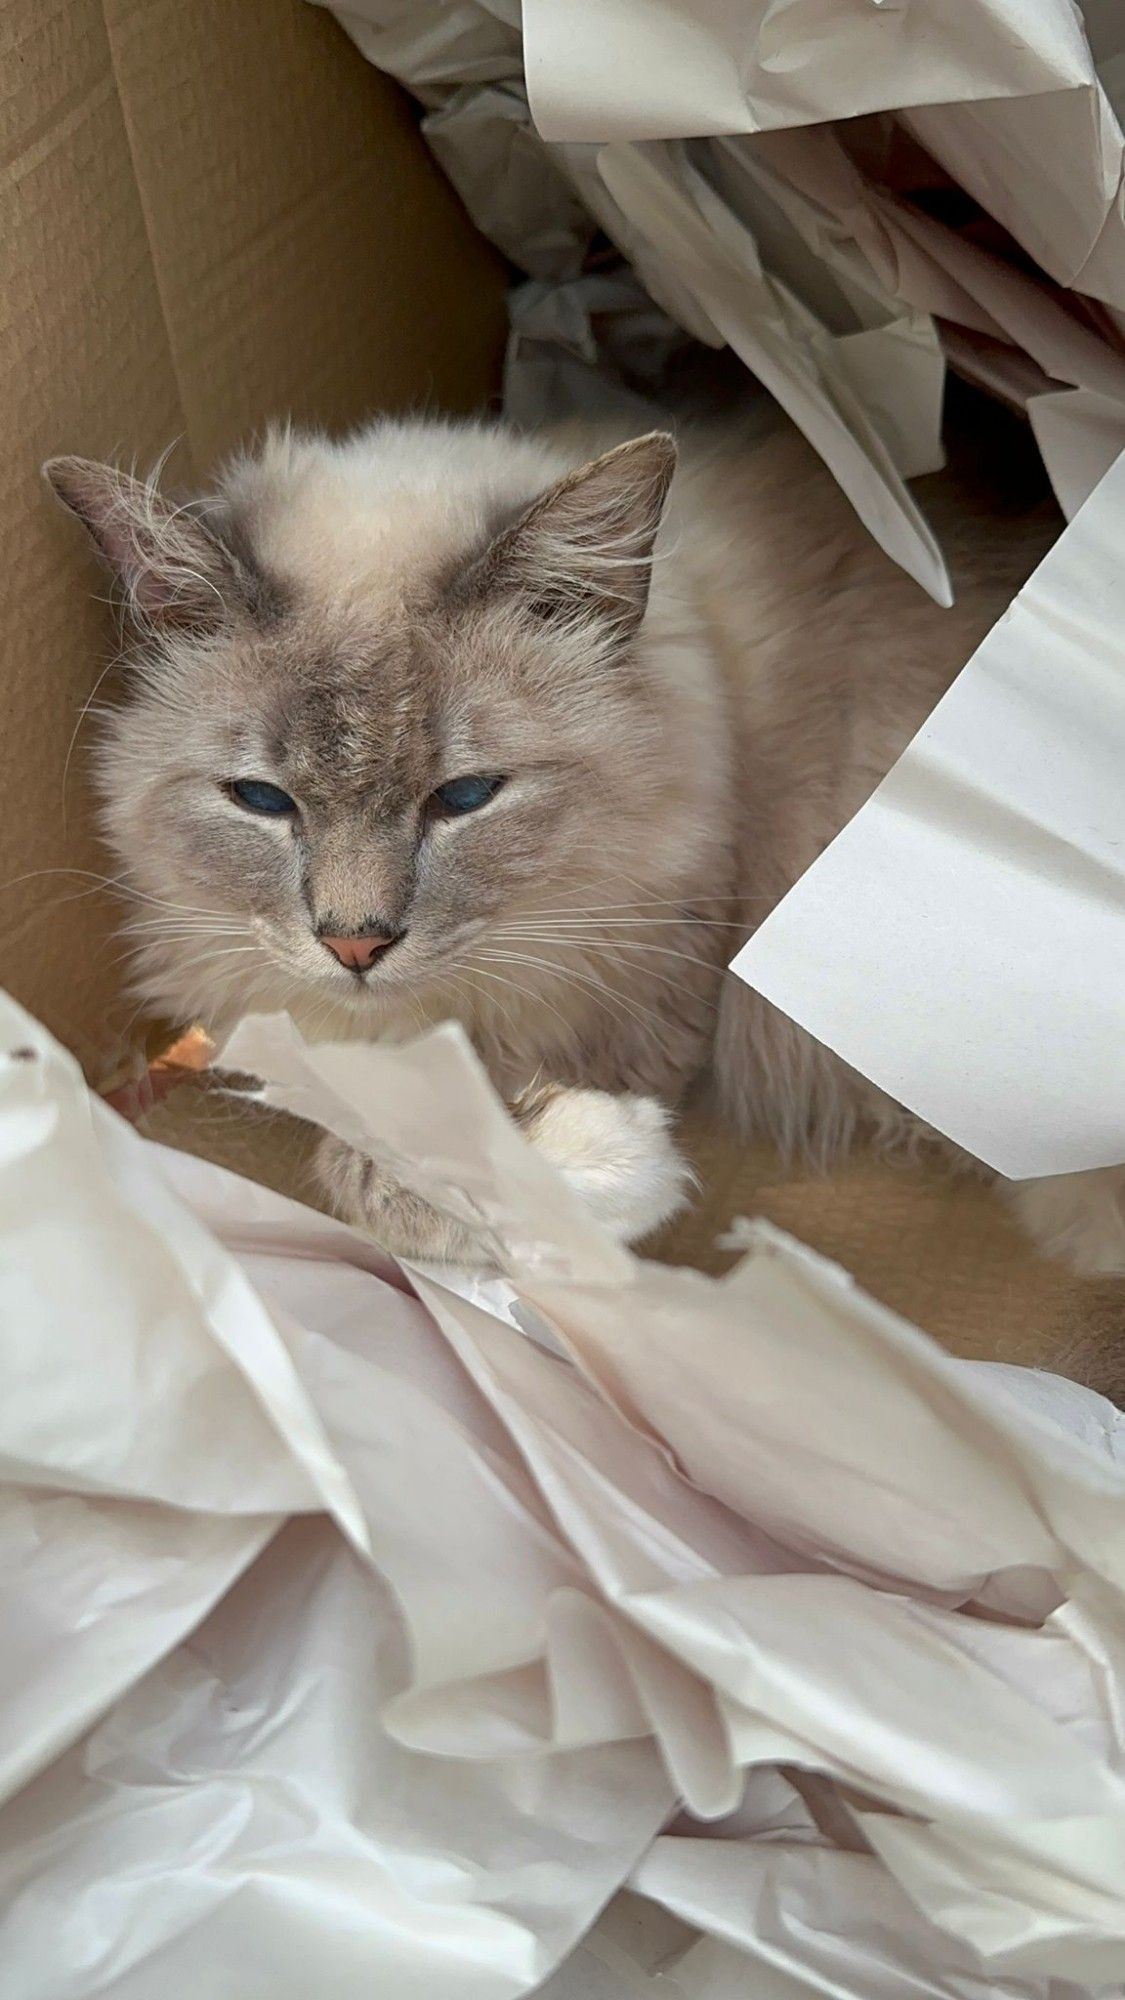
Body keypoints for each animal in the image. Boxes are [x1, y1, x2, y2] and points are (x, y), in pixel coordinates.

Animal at [46, 414, 1120, 1272]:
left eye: (464, 797)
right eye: (264, 801)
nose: (354, 945)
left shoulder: (661, 992)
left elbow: (408, 1148)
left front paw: (602, 1163)